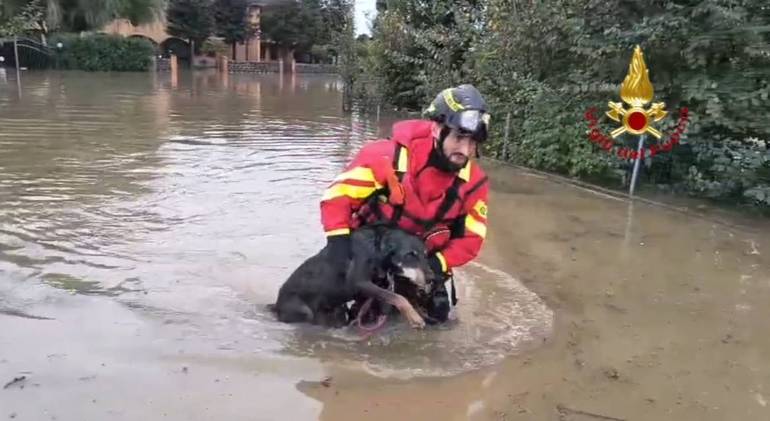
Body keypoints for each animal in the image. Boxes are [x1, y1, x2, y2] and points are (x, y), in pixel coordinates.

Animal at [272, 223, 438, 328]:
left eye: (425, 254)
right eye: (410, 255)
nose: (431, 278)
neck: (376, 248)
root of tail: (276, 305)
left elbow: (395, 296)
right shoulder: (359, 282)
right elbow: (399, 298)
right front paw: (414, 317)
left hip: (335, 312)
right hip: (304, 311)